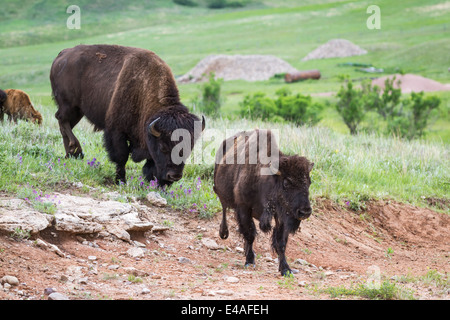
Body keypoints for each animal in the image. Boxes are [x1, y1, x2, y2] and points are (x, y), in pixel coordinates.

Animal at [50, 43, 205, 186]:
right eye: (163, 147)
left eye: (189, 148)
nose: (174, 176)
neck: (143, 89)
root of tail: (62, 54)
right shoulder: (116, 132)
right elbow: (121, 157)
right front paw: (120, 180)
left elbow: (150, 163)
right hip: (69, 105)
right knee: (62, 120)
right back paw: (76, 151)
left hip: (78, 111)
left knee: (64, 124)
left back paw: (70, 155)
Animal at [214, 129, 312, 276]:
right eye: (286, 182)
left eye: (309, 183)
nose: (305, 211)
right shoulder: (244, 208)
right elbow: (250, 235)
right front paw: (250, 261)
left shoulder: (280, 217)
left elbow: (281, 242)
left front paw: (285, 269)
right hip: (221, 192)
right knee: (224, 207)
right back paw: (223, 232)